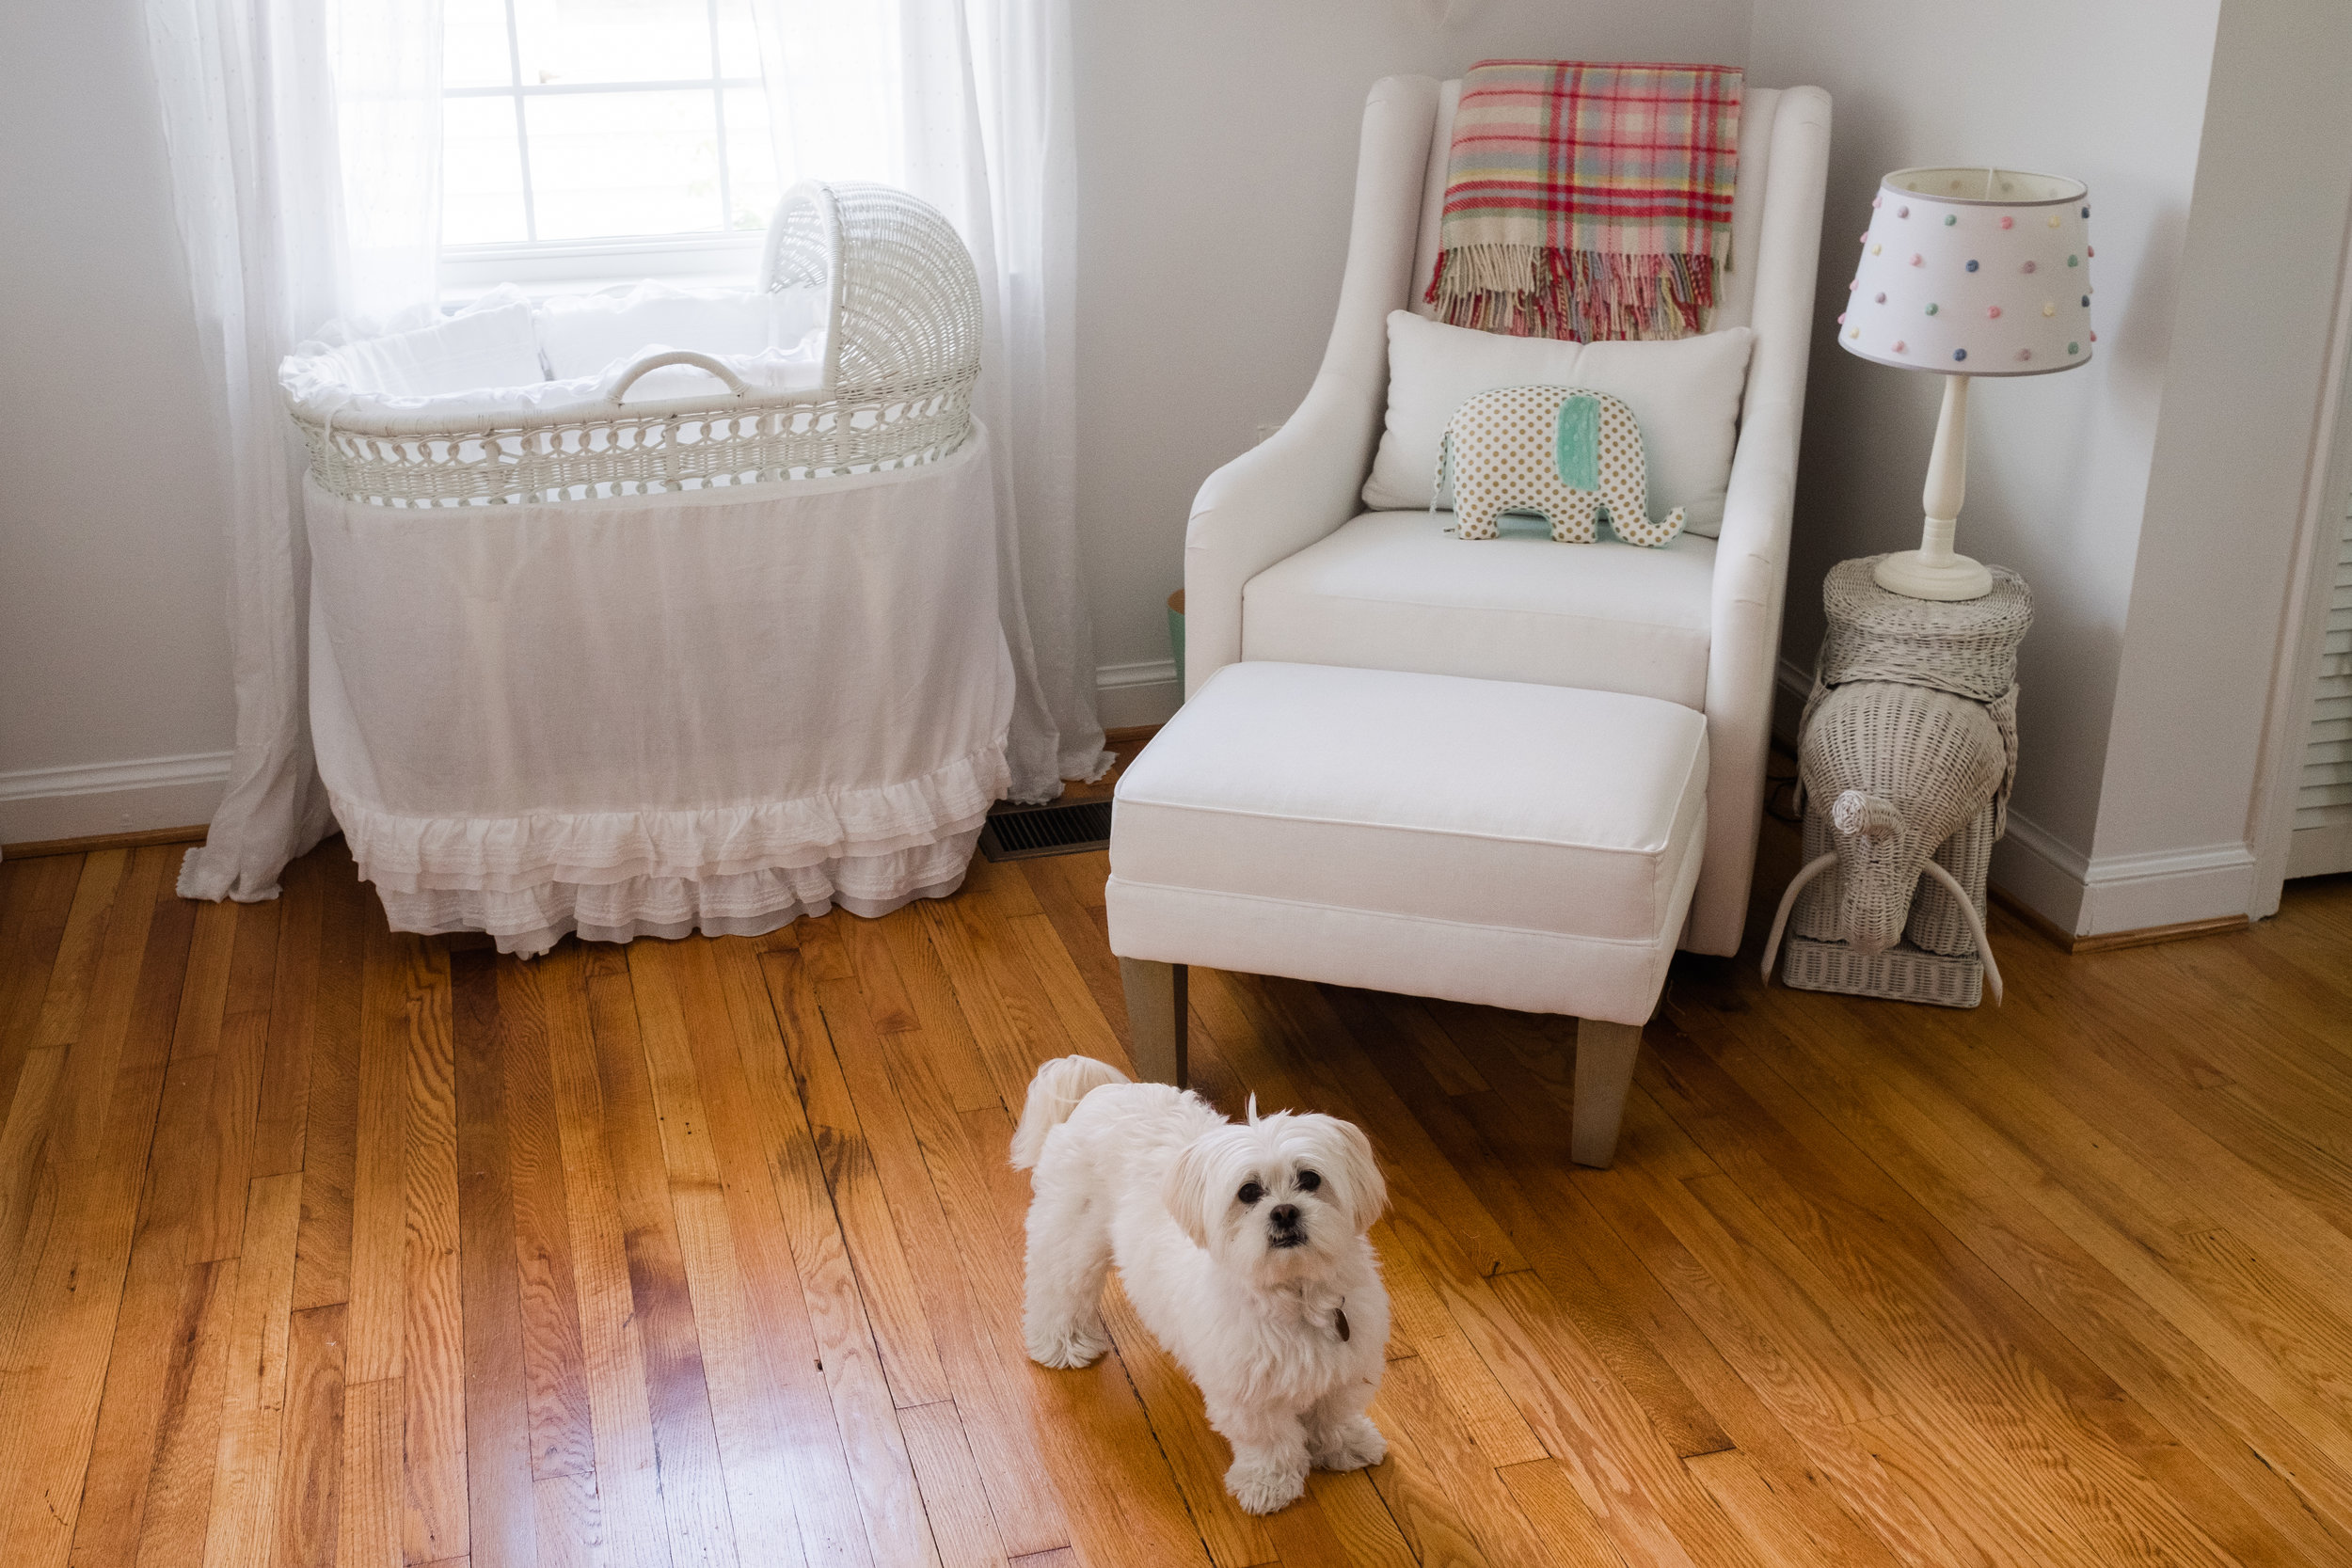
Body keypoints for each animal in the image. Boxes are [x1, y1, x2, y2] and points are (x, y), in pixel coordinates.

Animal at [1007, 1062, 1374, 1513]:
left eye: (1310, 1178)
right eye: (1248, 1192)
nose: (1285, 1212)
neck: (1296, 1291)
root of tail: (1103, 1091)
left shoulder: (1346, 1368)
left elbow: (1335, 1414)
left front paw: (1346, 1445)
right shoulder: (1247, 1392)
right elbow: (1268, 1442)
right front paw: (1269, 1485)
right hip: (1073, 1237)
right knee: (1058, 1290)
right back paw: (1063, 1343)